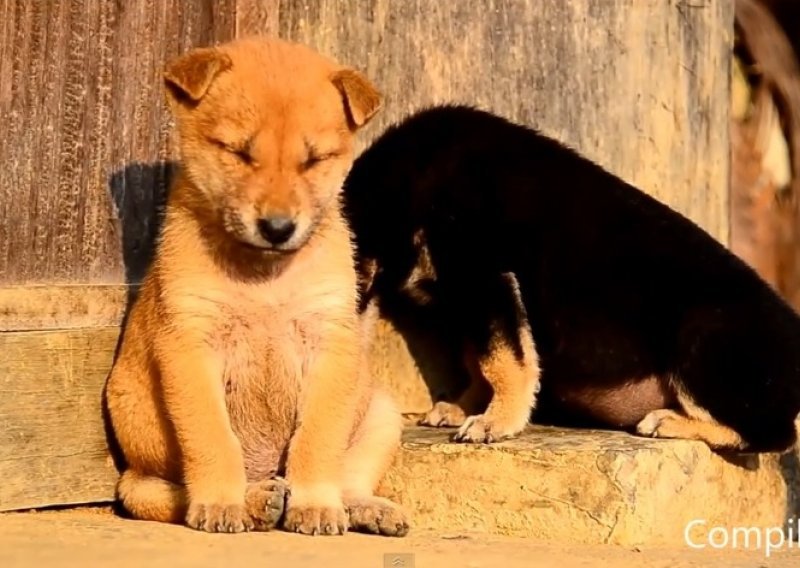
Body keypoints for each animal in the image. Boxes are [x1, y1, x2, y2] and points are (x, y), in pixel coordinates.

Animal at [104, 38, 410, 536]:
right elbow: (213, 437)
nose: (278, 228)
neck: (265, 280)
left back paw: (361, 507)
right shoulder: (190, 345)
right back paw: (254, 500)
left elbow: (317, 439)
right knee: (167, 494)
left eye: (314, 160)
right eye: (239, 153)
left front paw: (315, 504)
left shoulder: (330, 344)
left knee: (350, 477)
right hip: (138, 480)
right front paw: (221, 503)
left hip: (383, 412)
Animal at [346, 104, 800, 450]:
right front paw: (465, 407)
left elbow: (501, 361)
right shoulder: (466, 297)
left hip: (702, 336)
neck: (404, 187)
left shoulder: (485, 277)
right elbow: (477, 361)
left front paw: (495, 422)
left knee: (770, 435)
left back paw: (670, 422)